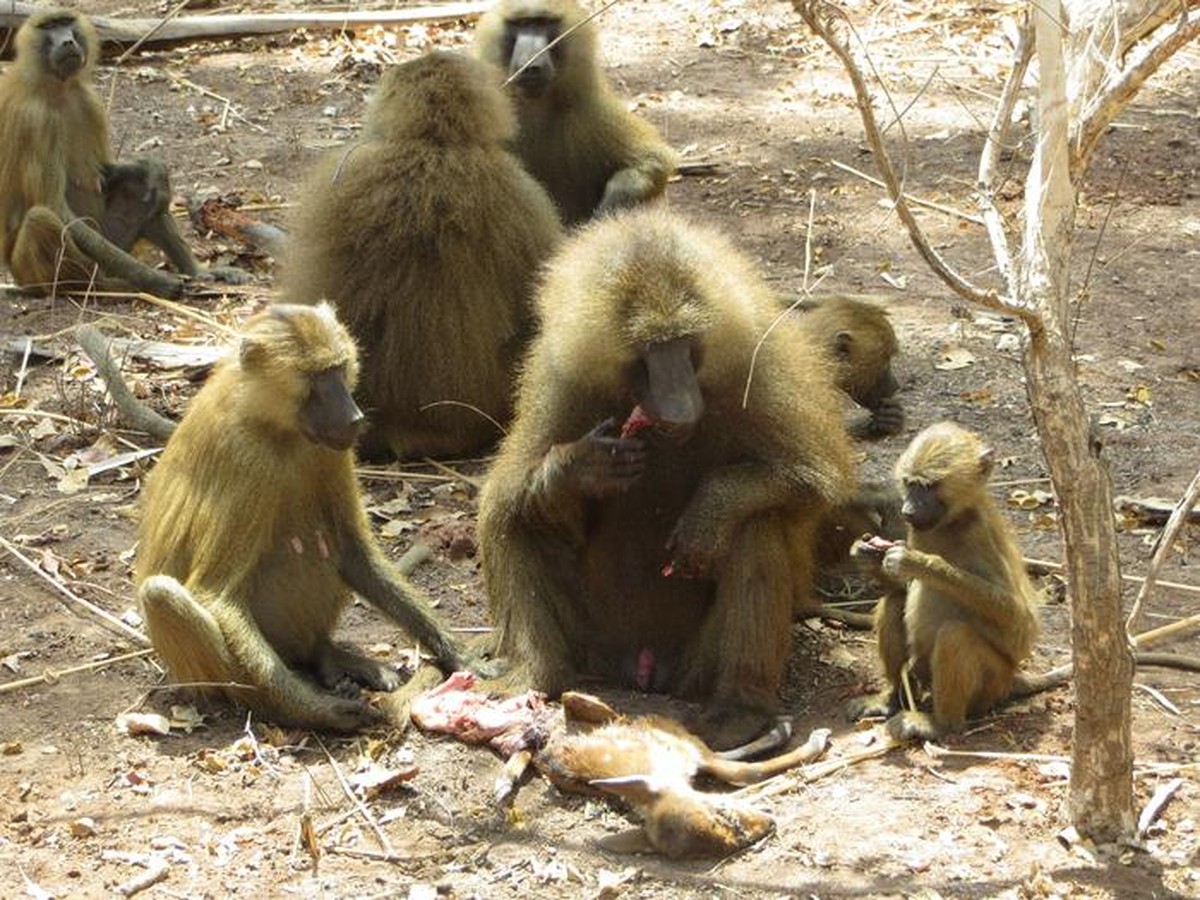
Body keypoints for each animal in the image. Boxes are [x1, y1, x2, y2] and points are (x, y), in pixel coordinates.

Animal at [0, 10, 246, 298]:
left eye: (66, 23)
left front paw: (153, 169)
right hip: (36, 273)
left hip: (114, 239)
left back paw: (198, 272)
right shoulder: (34, 121)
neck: (56, 88)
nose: (68, 41)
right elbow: (54, 206)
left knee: (146, 194)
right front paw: (153, 279)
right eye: (49, 27)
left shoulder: (88, 101)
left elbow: (108, 171)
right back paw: (106, 286)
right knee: (41, 220)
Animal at [135, 303, 477, 732]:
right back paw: (278, 704)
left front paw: (454, 651)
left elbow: (352, 550)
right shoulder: (247, 456)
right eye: (316, 377)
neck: (271, 421)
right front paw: (317, 710)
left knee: (323, 544)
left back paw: (327, 658)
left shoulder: (328, 449)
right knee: (161, 594)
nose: (353, 417)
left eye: (340, 368)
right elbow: (216, 593)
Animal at [473, 0, 679, 225]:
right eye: (522, 23)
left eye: (543, 22)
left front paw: (606, 213)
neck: (535, 104)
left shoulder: (589, 109)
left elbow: (652, 162)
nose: (531, 66)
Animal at [477, 208, 854, 750]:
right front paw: (576, 468)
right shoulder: (559, 379)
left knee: (755, 524)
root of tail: (643, 669)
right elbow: (509, 490)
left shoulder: (758, 364)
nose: (679, 408)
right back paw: (532, 677)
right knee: (512, 518)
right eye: (649, 350)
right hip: (593, 642)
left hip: (696, 667)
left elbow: (815, 483)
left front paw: (710, 510)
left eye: (684, 344)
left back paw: (739, 710)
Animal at [846, 422, 1042, 741]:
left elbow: (1018, 622)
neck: (953, 522)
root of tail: (1011, 680)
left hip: (993, 683)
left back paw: (939, 724)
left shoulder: (980, 536)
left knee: (955, 635)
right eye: (909, 483)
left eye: (928, 486)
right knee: (893, 603)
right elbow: (900, 589)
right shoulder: (918, 530)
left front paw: (920, 563)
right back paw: (891, 699)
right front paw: (865, 554)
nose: (907, 511)